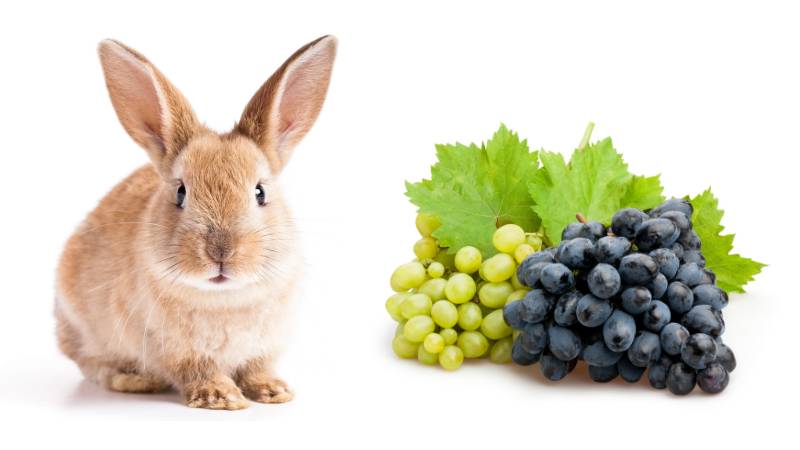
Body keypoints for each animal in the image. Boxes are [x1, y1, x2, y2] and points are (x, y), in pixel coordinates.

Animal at [54, 35, 337, 410]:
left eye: (260, 192)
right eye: (180, 192)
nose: (220, 252)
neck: (224, 298)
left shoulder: (263, 347)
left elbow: (257, 368)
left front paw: (274, 391)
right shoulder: (175, 350)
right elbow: (196, 370)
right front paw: (221, 397)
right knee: (91, 363)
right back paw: (134, 379)